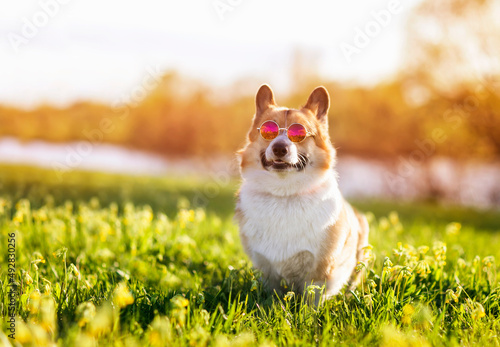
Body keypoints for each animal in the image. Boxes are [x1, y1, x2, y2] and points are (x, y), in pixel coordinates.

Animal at [234, 84, 368, 300]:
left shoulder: (318, 273)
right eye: (267, 131)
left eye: (299, 133)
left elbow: (310, 301)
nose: (280, 148)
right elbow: (273, 297)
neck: (284, 193)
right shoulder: (267, 271)